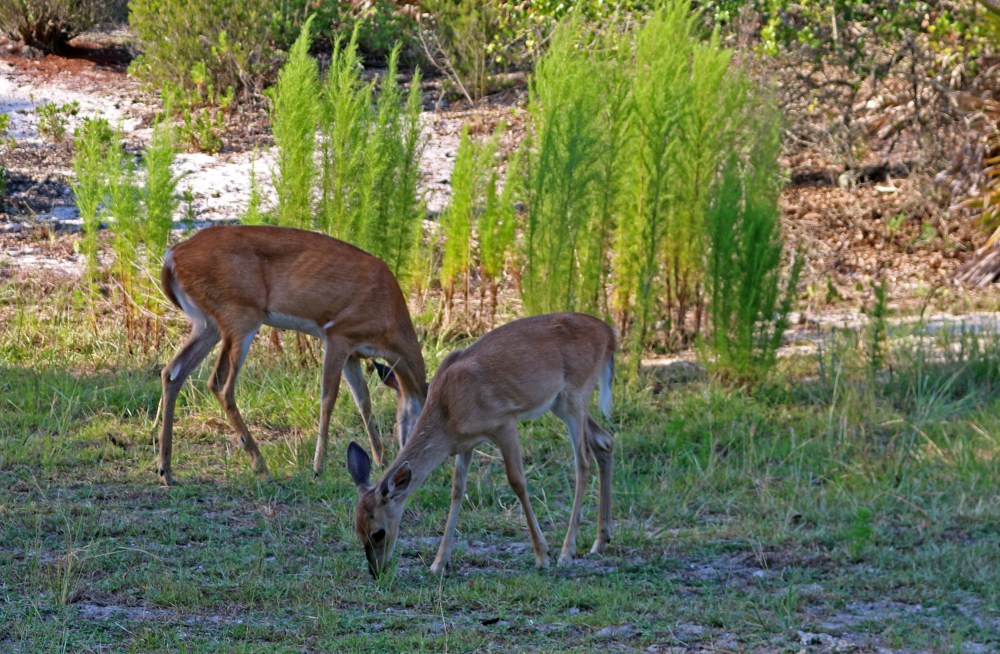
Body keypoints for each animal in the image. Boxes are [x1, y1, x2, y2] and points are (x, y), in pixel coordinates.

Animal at [157, 225, 427, 486]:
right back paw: (262, 469)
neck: (390, 324)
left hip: (207, 323)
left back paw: (166, 471)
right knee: (220, 383)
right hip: (240, 313)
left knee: (172, 372)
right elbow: (328, 399)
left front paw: (381, 460)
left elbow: (363, 401)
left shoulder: (353, 351)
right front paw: (318, 468)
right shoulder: (337, 334)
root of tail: (172, 257)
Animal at [346, 312, 615, 578]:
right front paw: (438, 563)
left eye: (378, 533)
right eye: (357, 531)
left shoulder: (504, 422)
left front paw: (542, 555)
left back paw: (567, 553)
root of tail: (608, 333)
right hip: (561, 404)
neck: (447, 410)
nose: (376, 572)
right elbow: (457, 489)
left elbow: (517, 481)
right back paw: (600, 542)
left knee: (583, 461)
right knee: (605, 440)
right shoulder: (466, 443)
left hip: (575, 395)